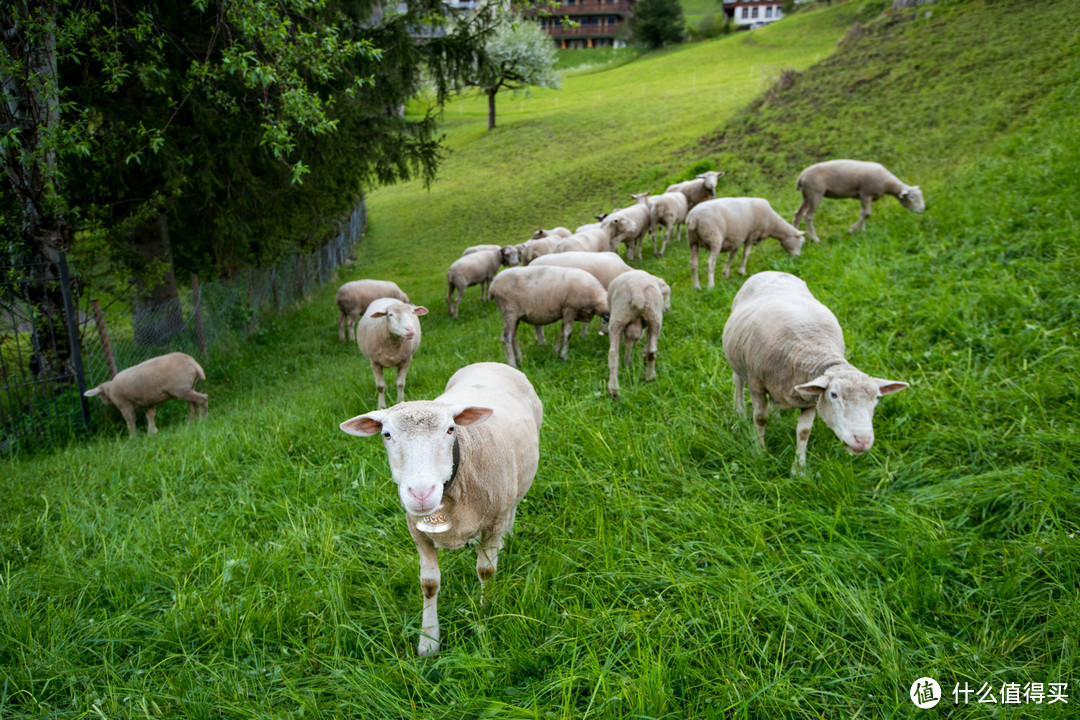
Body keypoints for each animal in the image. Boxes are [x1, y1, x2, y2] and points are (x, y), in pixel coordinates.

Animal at [339, 362, 544, 656]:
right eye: (386, 434)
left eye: (450, 429)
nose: (421, 493)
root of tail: (490, 363)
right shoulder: (418, 533)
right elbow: (429, 584)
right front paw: (428, 640)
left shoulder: (494, 521)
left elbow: (486, 571)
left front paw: (484, 613)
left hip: (516, 486)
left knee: (514, 506)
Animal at [604, 269, 669, 399]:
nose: (667, 309)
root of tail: (638, 292)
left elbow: (630, 342)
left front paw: (629, 362)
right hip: (652, 318)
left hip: (624, 317)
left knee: (615, 353)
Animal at [721, 269, 907, 472]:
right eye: (834, 395)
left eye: (877, 398)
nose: (863, 440)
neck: (814, 348)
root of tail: (772, 271)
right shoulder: (757, 385)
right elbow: (760, 419)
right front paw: (760, 452)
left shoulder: (810, 399)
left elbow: (804, 432)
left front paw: (799, 469)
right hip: (737, 361)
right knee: (738, 382)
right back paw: (739, 413)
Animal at [790, 158, 924, 240]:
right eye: (911, 197)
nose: (921, 210)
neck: (888, 184)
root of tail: (801, 175)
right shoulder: (866, 194)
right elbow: (867, 214)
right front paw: (852, 230)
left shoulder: (862, 196)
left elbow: (863, 213)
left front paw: (862, 230)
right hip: (815, 193)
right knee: (808, 216)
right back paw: (815, 238)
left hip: (806, 195)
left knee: (798, 213)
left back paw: (797, 234)